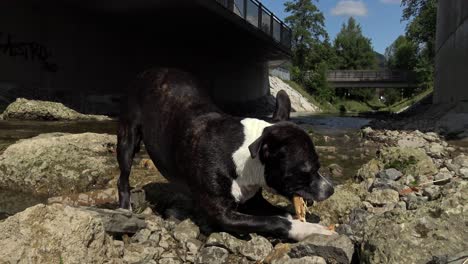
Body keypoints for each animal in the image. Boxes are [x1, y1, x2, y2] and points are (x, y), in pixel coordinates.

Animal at [117, 68, 336, 241]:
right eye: (307, 170)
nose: (331, 189)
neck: (243, 158)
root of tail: (150, 71)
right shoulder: (223, 215)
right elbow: (275, 221)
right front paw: (307, 229)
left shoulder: (254, 201)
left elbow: (281, 214)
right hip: (128, 138)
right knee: (123, 176)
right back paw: (125, 209)